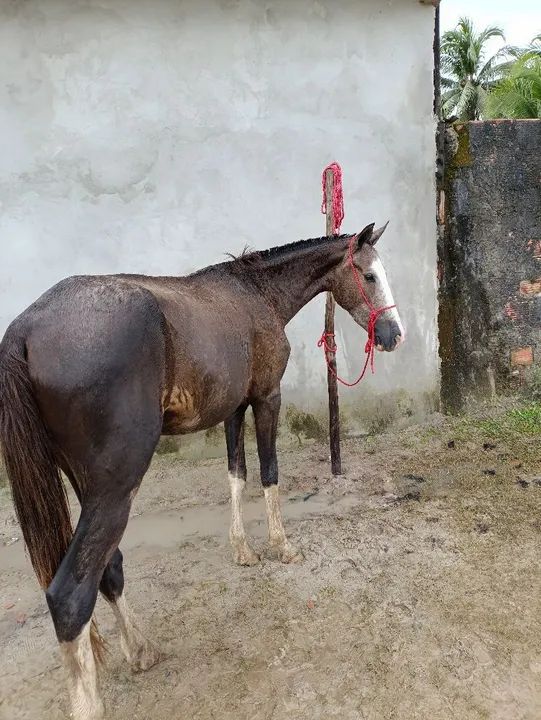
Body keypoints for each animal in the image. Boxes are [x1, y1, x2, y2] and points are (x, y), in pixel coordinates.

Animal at [0, 222, 403, 719]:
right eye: (368, 276)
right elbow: (268, 473)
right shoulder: (266, 398)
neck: (255, 294)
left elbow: (236, 476)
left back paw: (140, 650)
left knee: (108, 567)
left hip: (88, 484)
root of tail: (24, 329)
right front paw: (281, 547)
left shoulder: (233, 409)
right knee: (70, 595)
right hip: (116, 487)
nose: (394, 334)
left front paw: (242, 550)